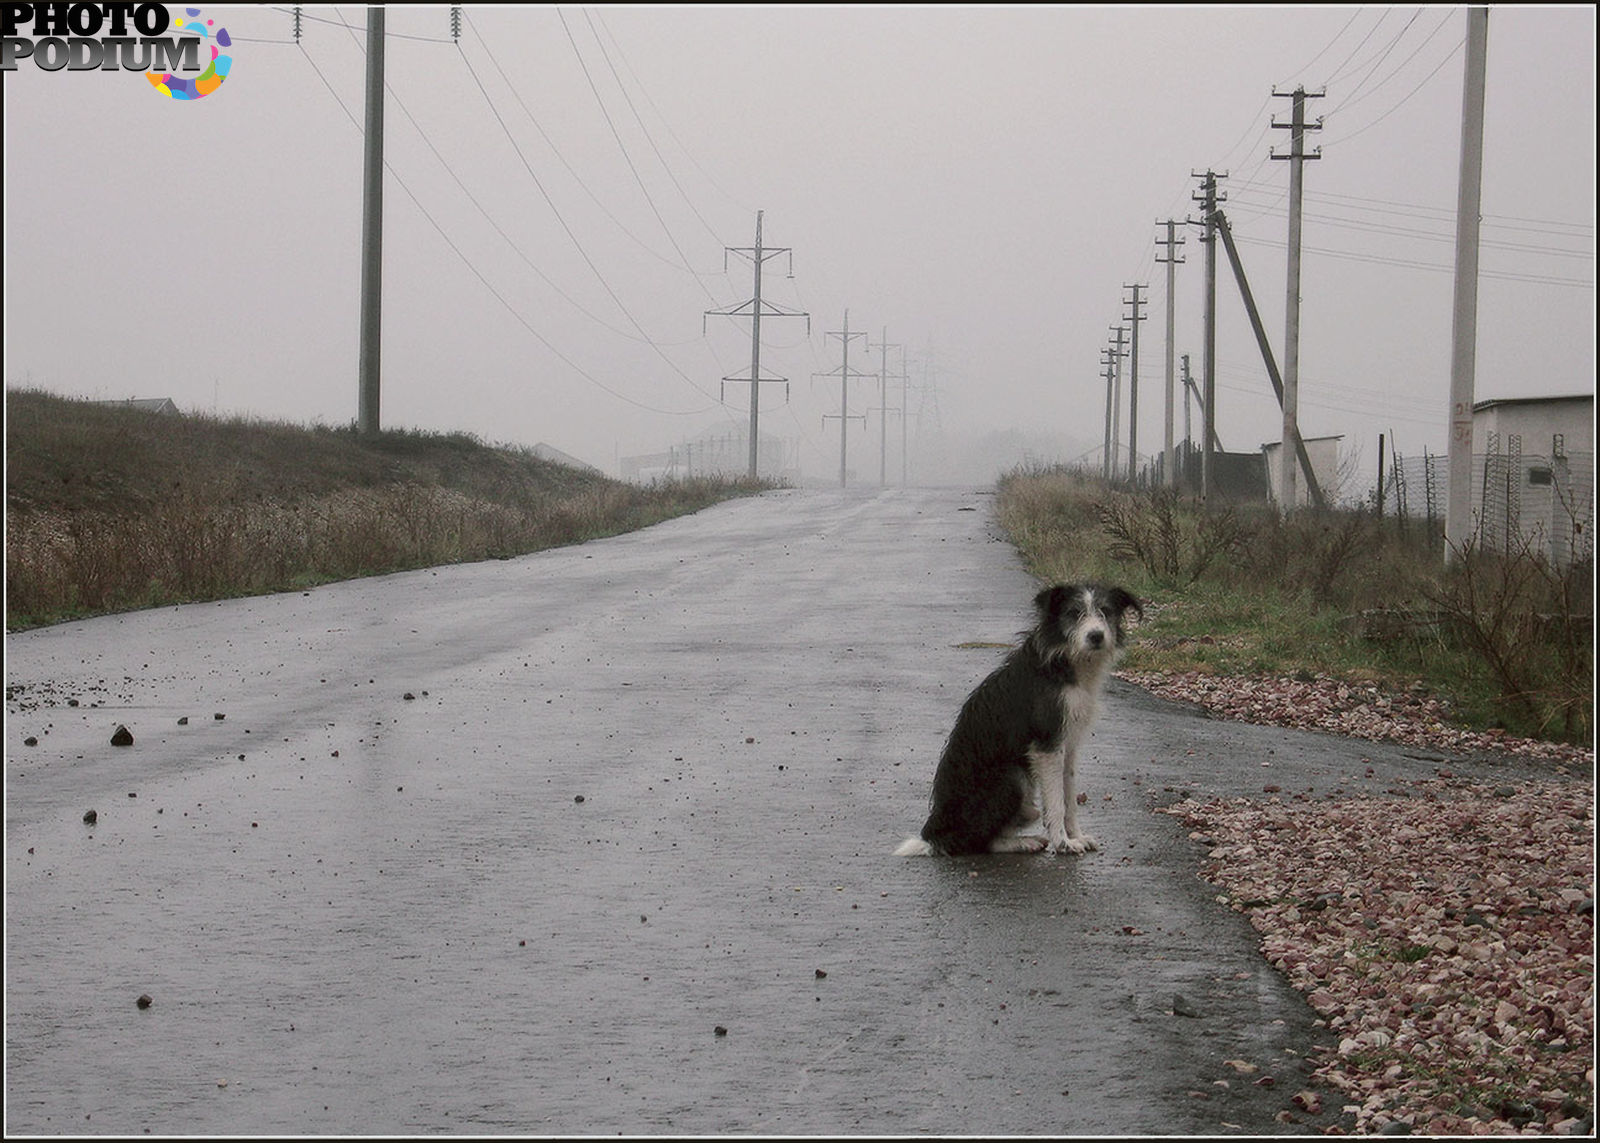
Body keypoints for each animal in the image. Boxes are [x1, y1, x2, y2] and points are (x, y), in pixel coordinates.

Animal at [896, 582, 1145, 851]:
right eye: (1073, 612)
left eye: (1106, 611)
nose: (1096, 636)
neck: (1065, 661)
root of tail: (935, 837)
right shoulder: (1047, 745)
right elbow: (1057, 802)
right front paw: (1063, 843)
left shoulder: (1067, 746)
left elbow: (1069, 798)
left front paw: (1076, 836)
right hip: (1013, 777)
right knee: (981, 842)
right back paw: (1022, 843)